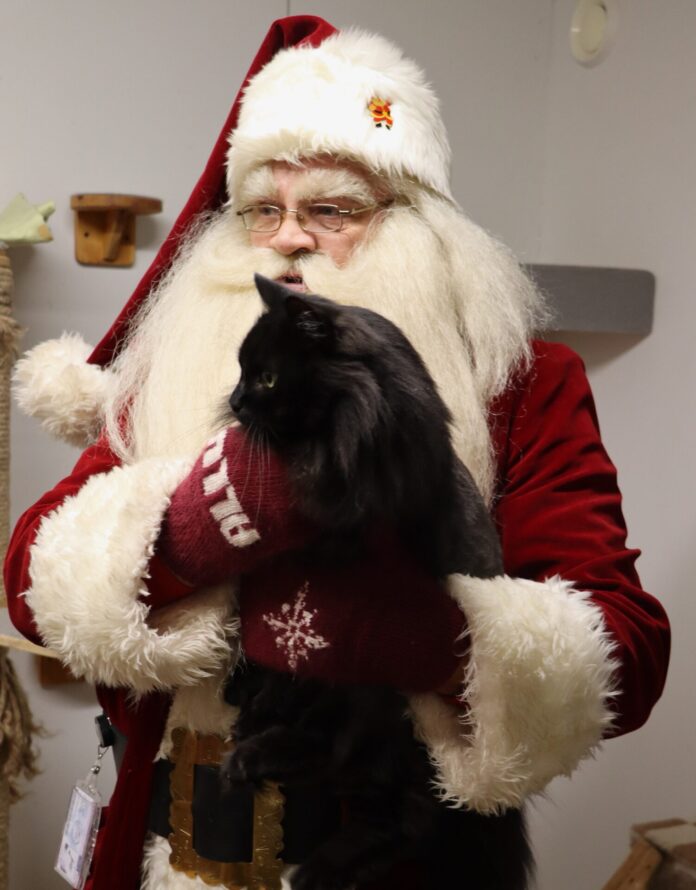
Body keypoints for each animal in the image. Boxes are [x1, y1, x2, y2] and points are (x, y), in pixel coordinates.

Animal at [221, 273, 532, 890]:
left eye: (267, 378)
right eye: (242, 371)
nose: (235, 401)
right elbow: (274, 670)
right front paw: (250, 700)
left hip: (383, 715)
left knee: (390, 810)